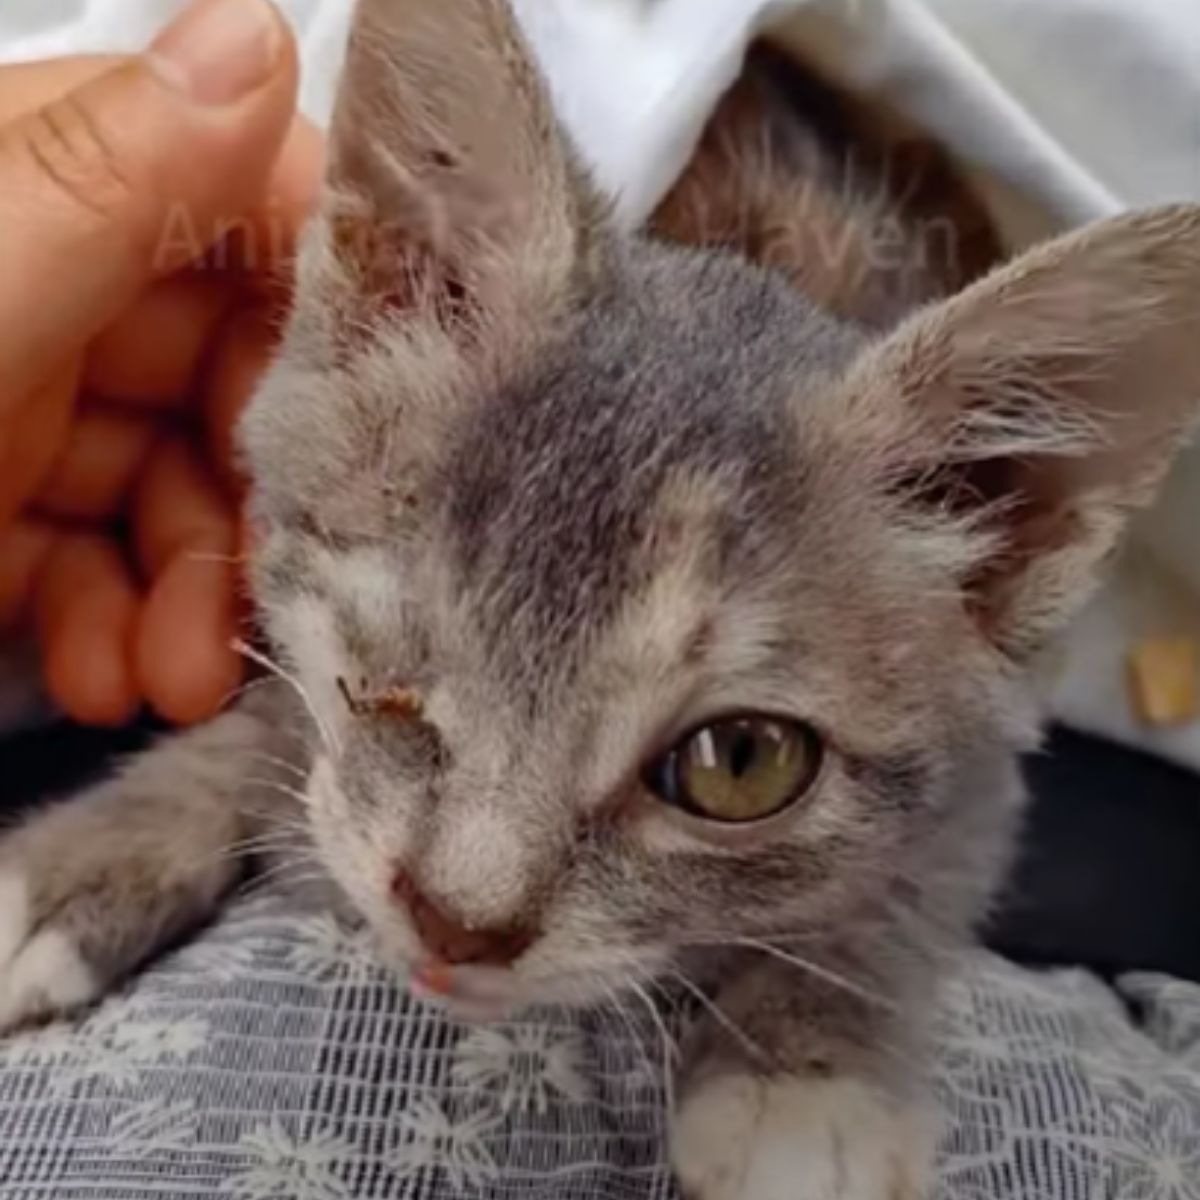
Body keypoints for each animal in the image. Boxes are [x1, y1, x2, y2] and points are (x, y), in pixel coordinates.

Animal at [2, 2, 1200, 1200]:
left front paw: (805, 1073)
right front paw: (77, 866)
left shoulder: (996, 748)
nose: (455, 924)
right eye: (388, 669)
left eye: (740, 762)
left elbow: (916, 877)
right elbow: (275, 721)